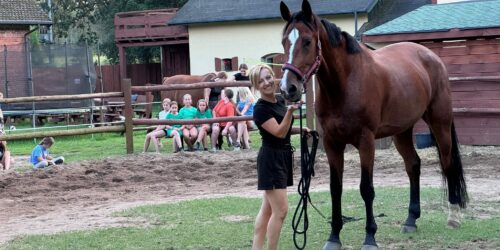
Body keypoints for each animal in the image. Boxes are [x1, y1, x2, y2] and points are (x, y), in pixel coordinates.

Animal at [280, 0, 466, 249]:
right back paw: (411, 219)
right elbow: (335, 189)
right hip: (402, 131)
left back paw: (454, 216)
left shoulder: (365, 141)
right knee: (413, 165)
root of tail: (431, 56)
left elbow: (366, 189)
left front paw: (370, 237)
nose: (288, 89)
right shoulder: (331, 143)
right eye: (284, 41)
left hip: (440, 122)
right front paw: (334, 236)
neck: (346, 83)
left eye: (308, 41)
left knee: (448, 163)